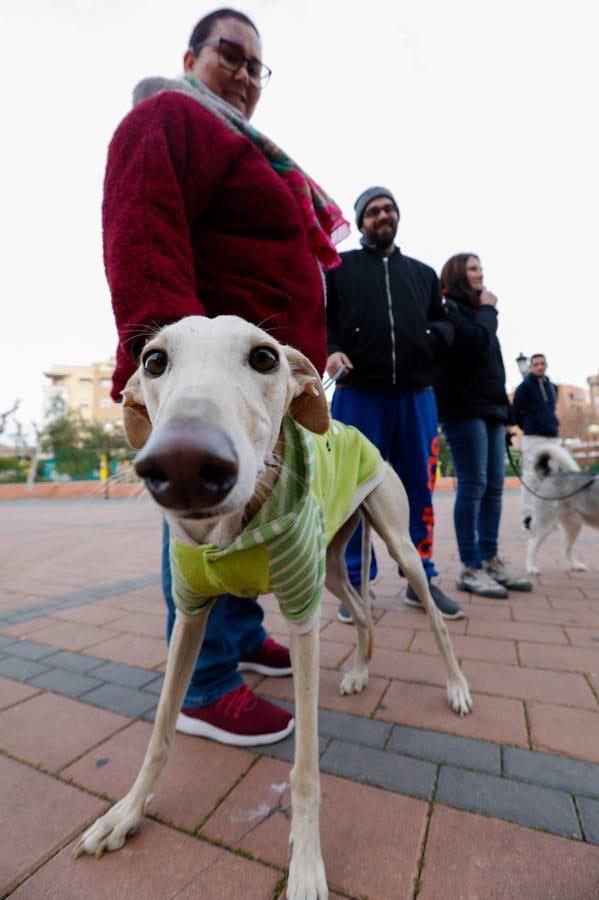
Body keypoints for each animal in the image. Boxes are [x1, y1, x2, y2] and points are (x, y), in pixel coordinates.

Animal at [72, 316, 472, 900]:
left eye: (265, 357)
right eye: (153, 361)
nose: (183, 465)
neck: (231, 528)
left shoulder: (302, 617)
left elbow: (305, 770)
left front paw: (306, 864)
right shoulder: (190, 613)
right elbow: (160, 732)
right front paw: (125, 813)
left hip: (399, 545)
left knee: (435, 620)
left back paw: (456, 687)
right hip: (331, 565)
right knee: (363, 610)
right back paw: (360, 671)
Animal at [528, 444, 596, 576]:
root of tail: (549, 475)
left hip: (573, 525)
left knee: (566, 546)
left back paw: (575, 565)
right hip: (546, 523)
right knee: (531, 543)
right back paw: (531, 568)